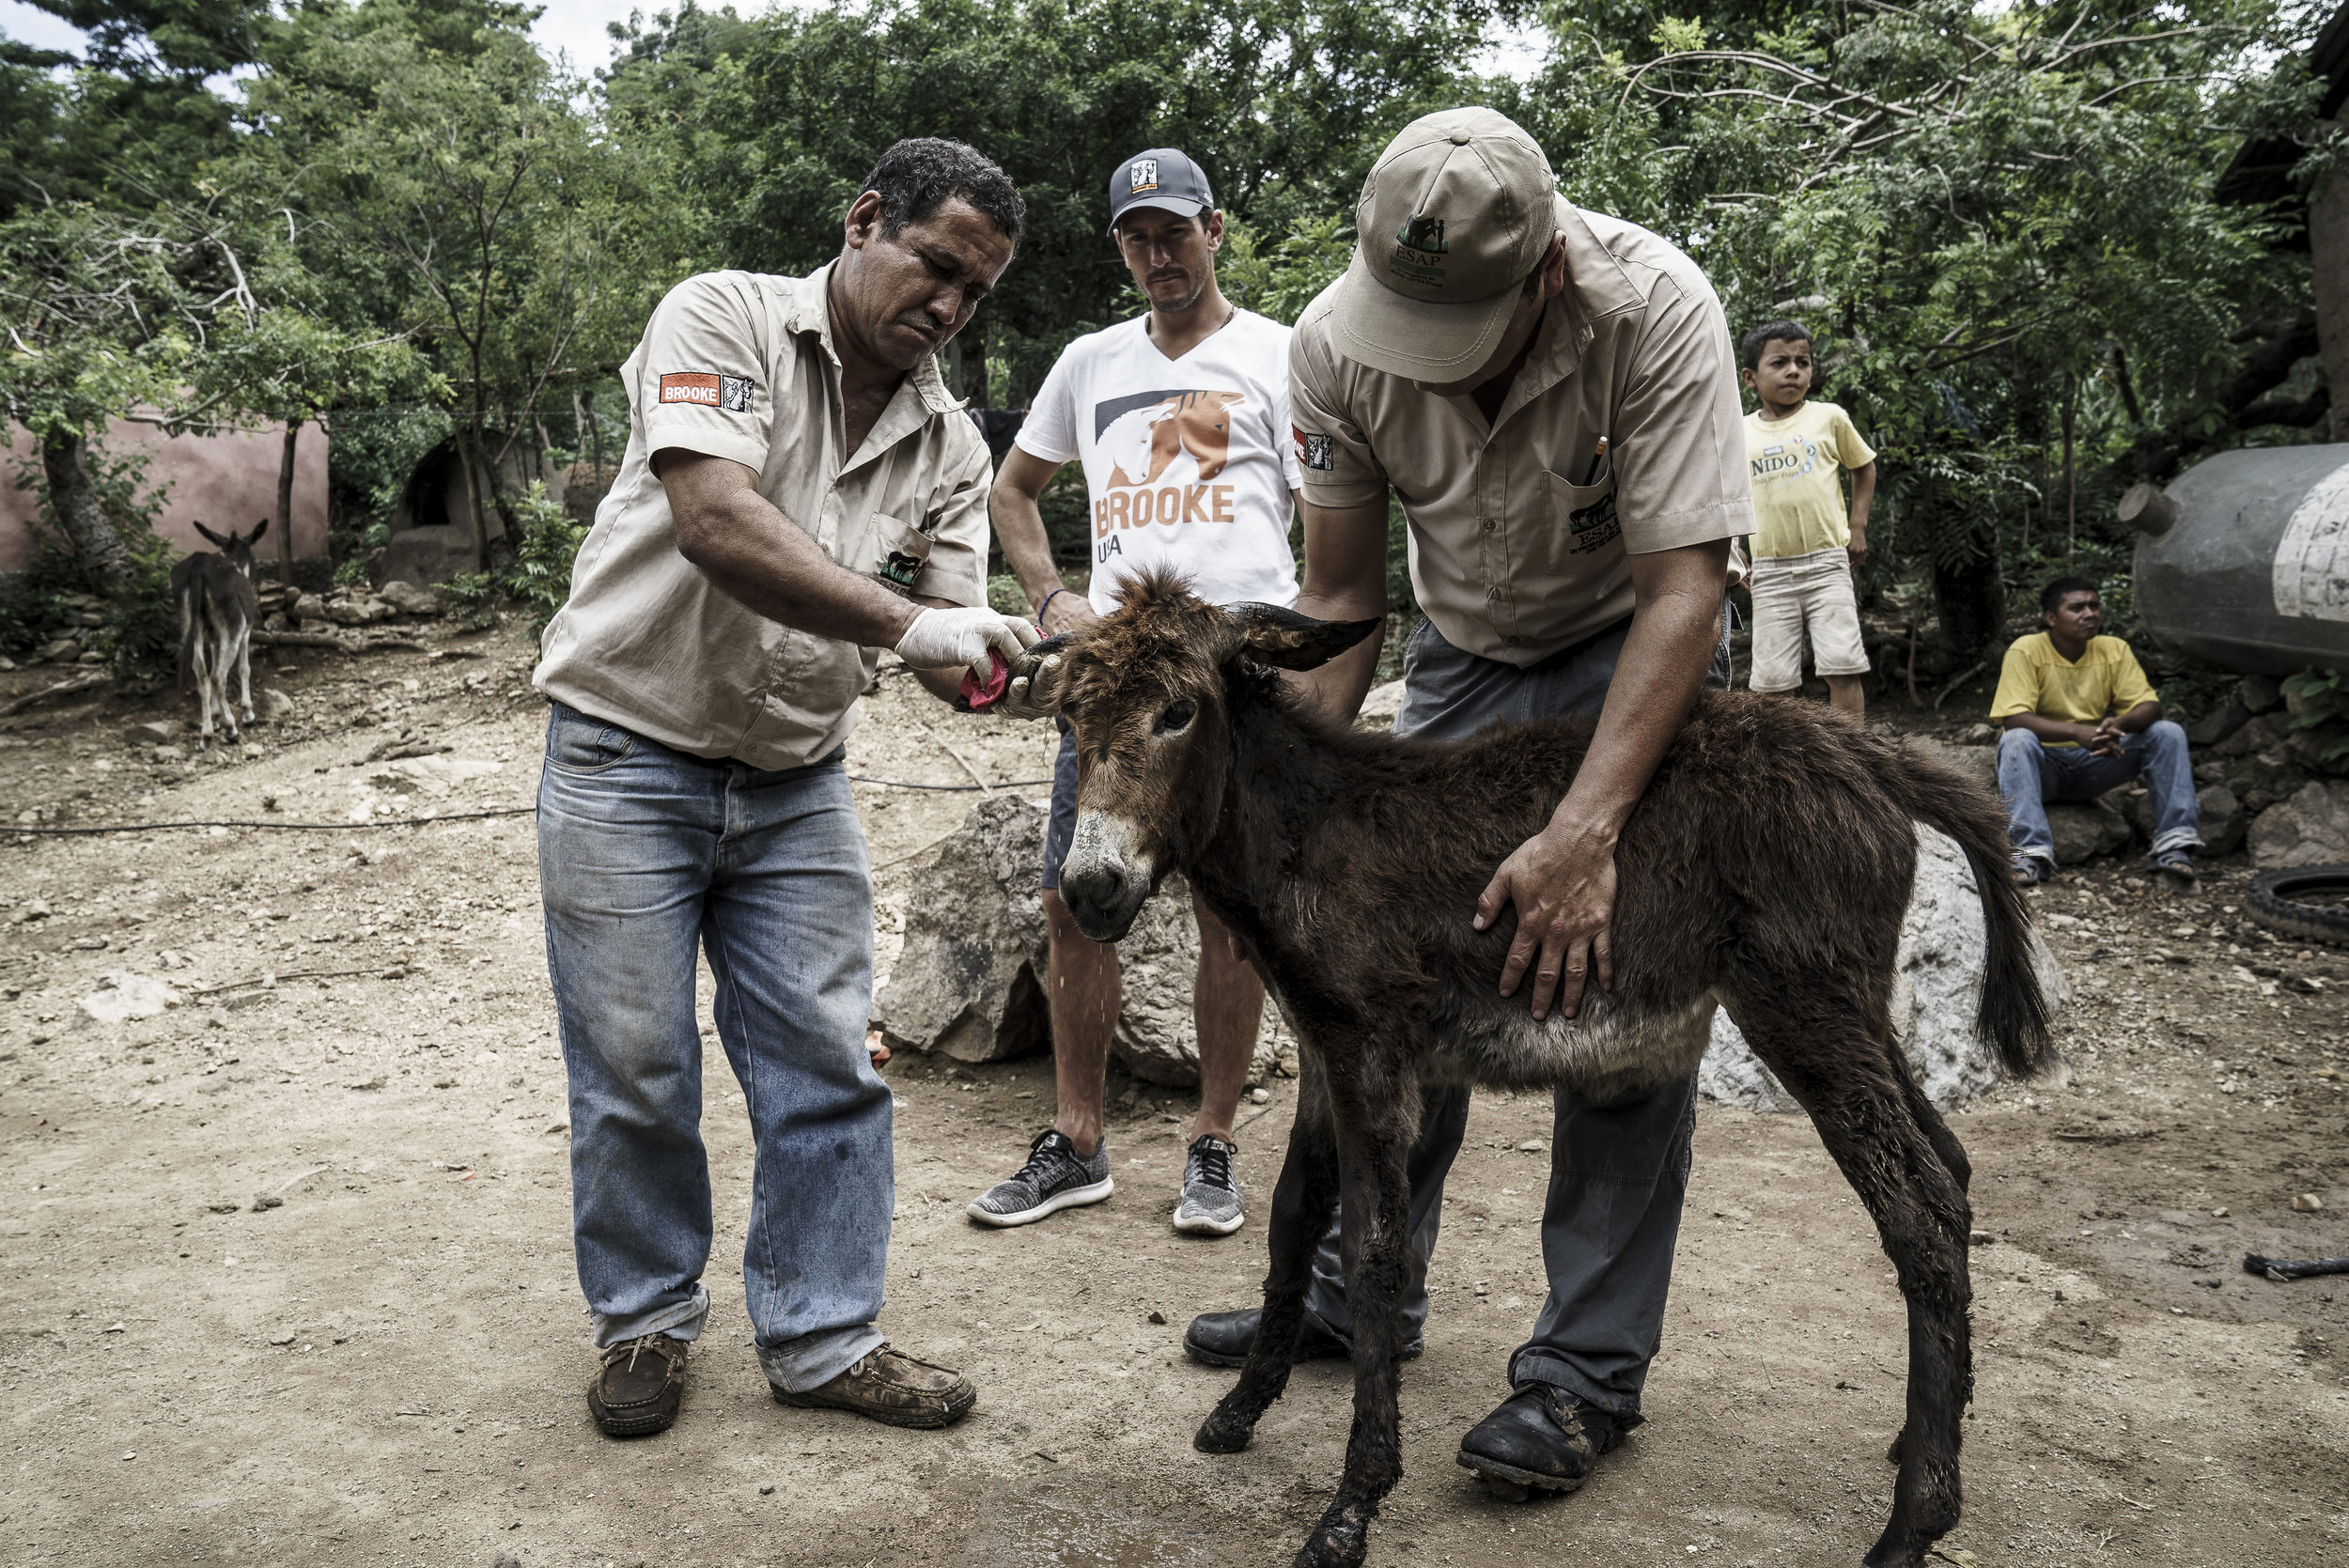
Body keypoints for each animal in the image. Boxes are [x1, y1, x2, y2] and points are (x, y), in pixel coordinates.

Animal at [1048, 575, 2058, 1568]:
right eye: (1069, 715)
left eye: (1179, 711)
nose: (1090, 888)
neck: (1312, 830)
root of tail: (1873, 754)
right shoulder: (1324, 1052)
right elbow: (1294, 1219)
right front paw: (1240, 1410)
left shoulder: (1374, 1055)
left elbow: (1375, 1250)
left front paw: (1351, 1506)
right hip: (1855, 1009)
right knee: (1953, 1166)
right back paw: (1924, 1433)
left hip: (1802, 1007)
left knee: (1922, 1209)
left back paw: (1914, 1522)